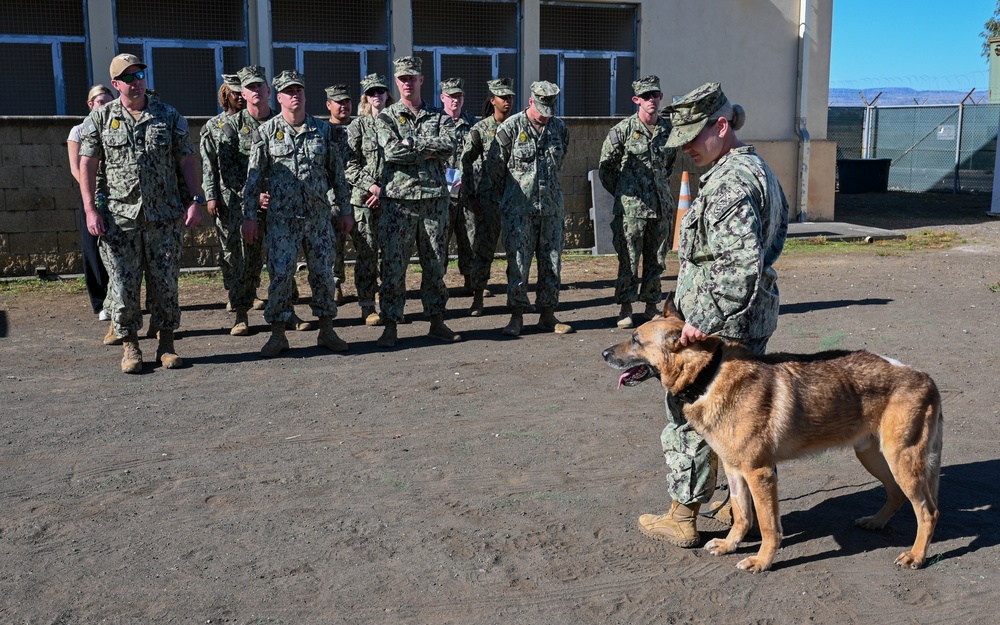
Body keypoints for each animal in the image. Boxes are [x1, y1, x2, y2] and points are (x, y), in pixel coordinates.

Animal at [600, 298, 944, 572]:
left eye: (635, 340)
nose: (603, 353)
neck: (709, 376)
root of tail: (924, 376)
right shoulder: (734, 470)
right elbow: (741, 515)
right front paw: (729, 545)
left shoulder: (760, 473)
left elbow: (767, 525)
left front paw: (762, 562)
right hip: (873, 457)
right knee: (897, 495)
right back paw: (877, 522)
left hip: (902, 461)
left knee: (928, 511)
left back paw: (916, 556)